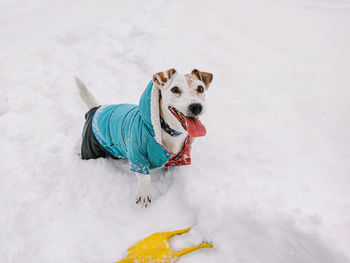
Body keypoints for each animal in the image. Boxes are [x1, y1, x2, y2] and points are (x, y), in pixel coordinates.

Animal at [76, 68, 213, 208]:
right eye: (175, 89)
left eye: (200, 88)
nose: (196, 107)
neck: (167, 129)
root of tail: (95, 109)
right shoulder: (137, 154)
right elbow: (144, 176)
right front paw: (144, 193)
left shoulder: (179, 157)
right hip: (90, 149)